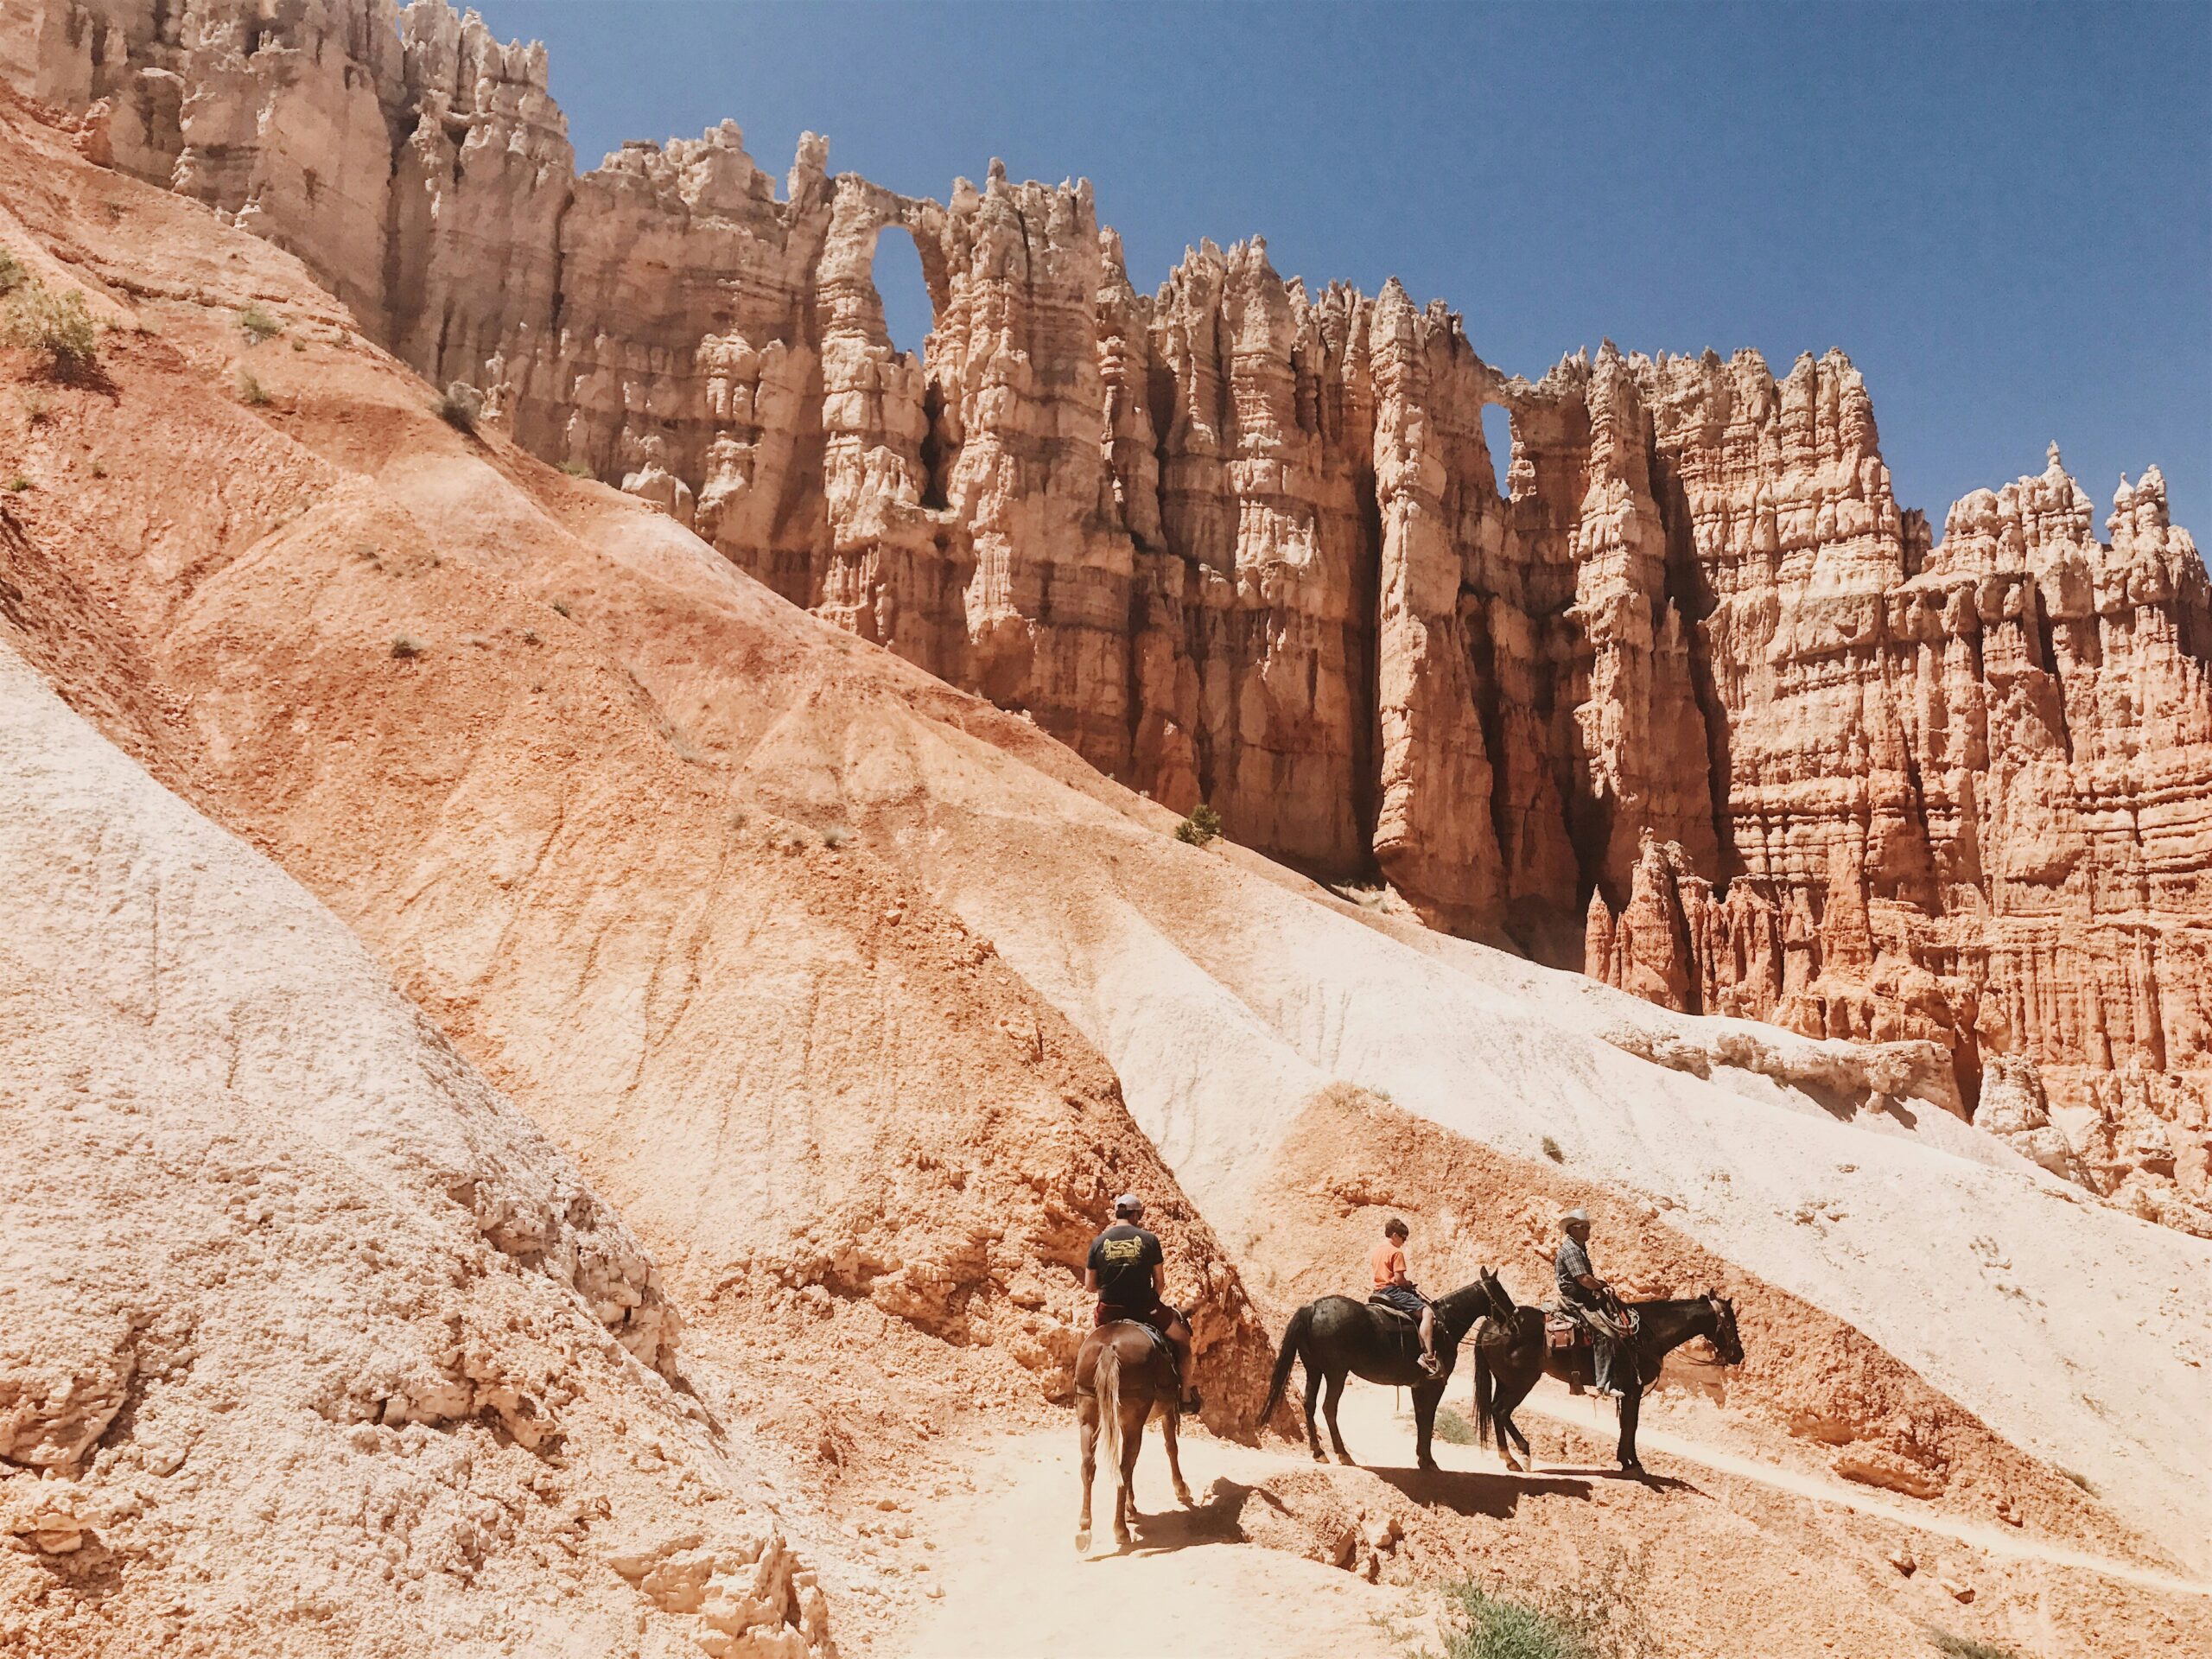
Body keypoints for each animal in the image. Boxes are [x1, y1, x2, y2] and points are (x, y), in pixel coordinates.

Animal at [1071, 1318, 1194, 1557]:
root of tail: (1108, 1347)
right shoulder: (1167, 1411)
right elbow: (1171, 1447)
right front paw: (1181, 1488)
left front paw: (1130, 1507)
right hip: (1133, 1419)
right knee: (1125, 1467)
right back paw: (1120, 1529)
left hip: (1089, 1414)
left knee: (1089, 1465)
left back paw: (1084, 1530)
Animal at [1274, 1282, 1495, 1478]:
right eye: (1499, 1292)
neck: (1445, 1323)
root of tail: (1312, 1307)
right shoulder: (1433, 1385)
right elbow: (1428, 1419)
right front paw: (1429, 1461)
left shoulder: (1418, 1386)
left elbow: (1421, 1418)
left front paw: (1423, 1459)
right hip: (1336, 1373)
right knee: (1329, 1407)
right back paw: (1344, 1455)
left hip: (1314, 1369)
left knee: (1309, 1404)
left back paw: (1319, 1452)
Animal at [1478, 1265, 1734, 1478]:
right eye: (1731, 1323)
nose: (1737, 1355)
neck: (1648, 1333)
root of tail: (1491, 1324)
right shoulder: (1634, 1388)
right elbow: (1631, 1424)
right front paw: (1633, 1463)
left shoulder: (1629, 1390)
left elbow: (1626, 1424)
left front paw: (1625, 1461)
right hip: (1520, 1382)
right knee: (1501, 1411)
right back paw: (1520, 1456)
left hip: (1504, 1381)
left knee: (1495, 1410)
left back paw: (1510, 1458)